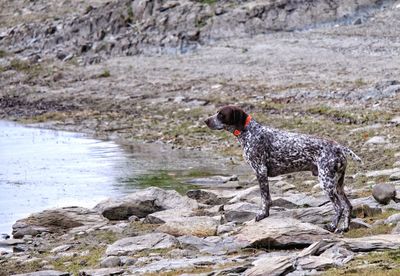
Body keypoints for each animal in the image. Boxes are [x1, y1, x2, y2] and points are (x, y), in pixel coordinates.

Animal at [205, 105, 364, 233]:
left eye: (221, 114)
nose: (206, 120)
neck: (249, 132)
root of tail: (339, 147)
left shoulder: (260, 171)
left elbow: (265, 199)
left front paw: (263, 214)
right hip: (338, 184)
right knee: (348, 206)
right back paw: (344, 228)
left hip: (327, 182)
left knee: (339, 207)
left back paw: (332, 226)